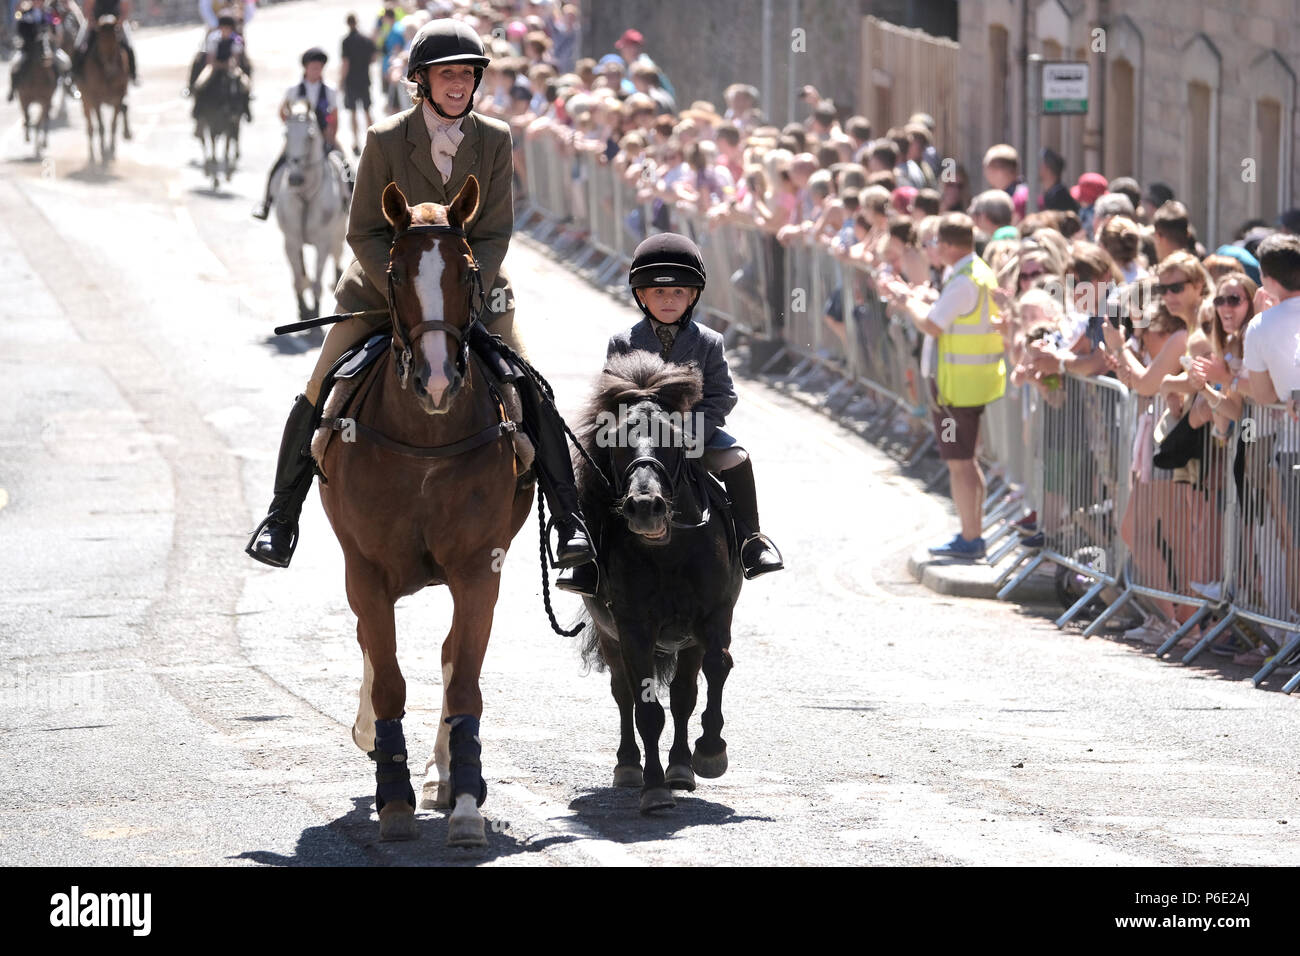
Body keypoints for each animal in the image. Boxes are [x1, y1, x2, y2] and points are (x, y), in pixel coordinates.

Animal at [74, 15, 130, 164]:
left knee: (123, 109)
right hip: (85, 100)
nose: (111, 69)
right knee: (90, 126)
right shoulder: (96, 99)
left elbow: (114, 123)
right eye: (100, 42)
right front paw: (103, 152)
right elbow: (101, 126)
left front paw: (111, 149)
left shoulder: (118, 97)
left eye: (116, 41)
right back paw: (93, 155)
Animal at [572, 356, 743, 811]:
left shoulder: (713, 616)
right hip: (610, 636)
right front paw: (653, 789)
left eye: (676, 436)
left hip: (686, 640)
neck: (667, 550)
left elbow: (716, 668)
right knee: (624, 694)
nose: (646, 506)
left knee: (684, 694)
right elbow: (646, 708)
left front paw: (710, 752)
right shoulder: (633, 628)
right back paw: (630, 766)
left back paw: (682, 767)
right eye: (614, 437)